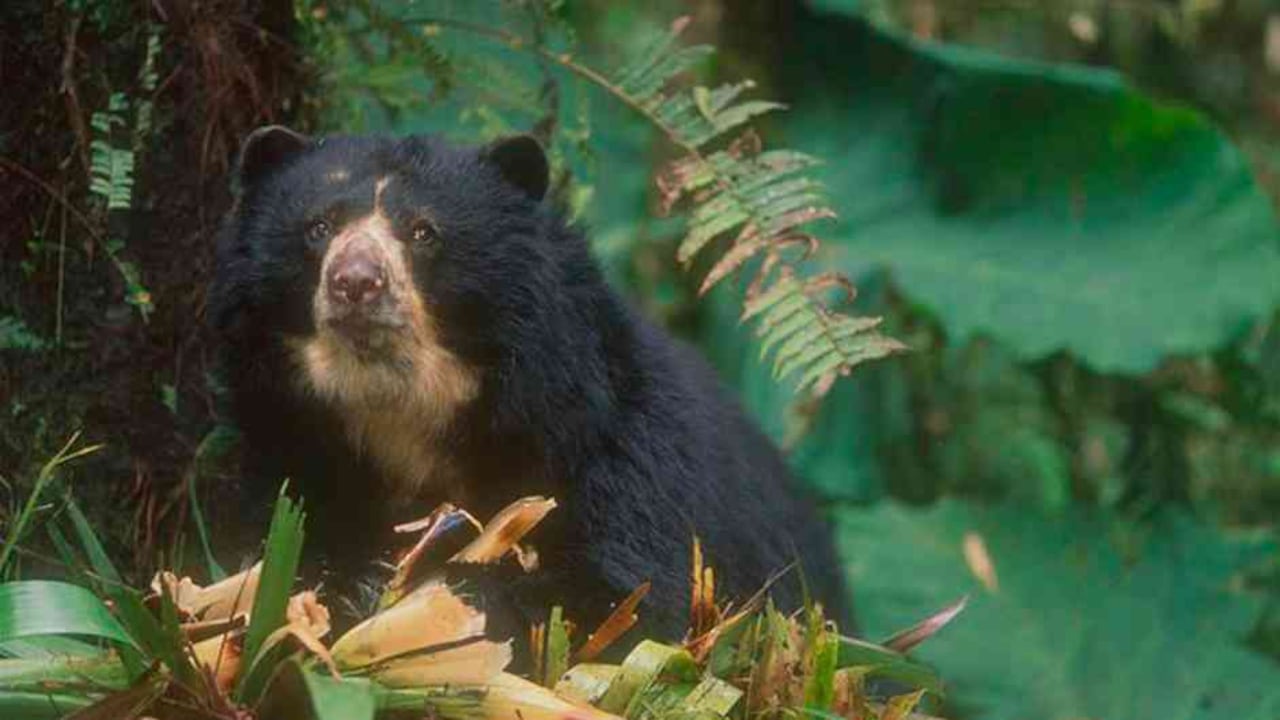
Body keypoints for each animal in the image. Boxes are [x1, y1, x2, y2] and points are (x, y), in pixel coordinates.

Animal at [209, 125, 850, 643]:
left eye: (423, 233)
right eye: (317, 227)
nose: (356, 283)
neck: (403, 408)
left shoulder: (613, 452)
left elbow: (620, 600)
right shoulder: (291, 446)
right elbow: (273, 545)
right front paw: (348, 583)